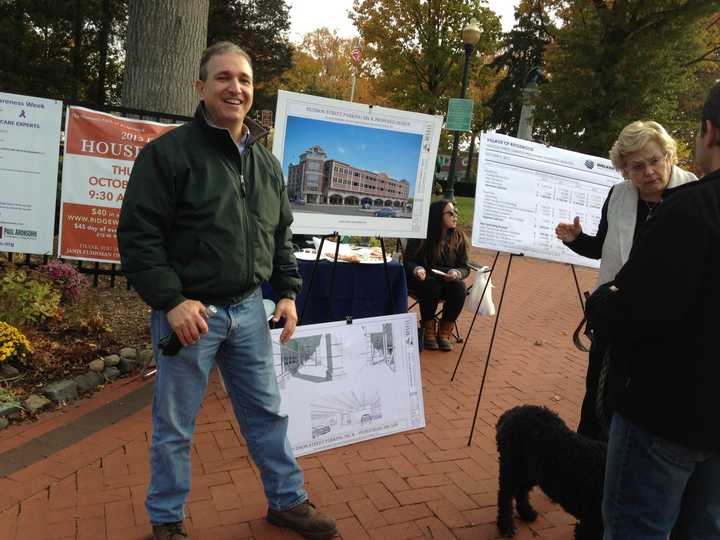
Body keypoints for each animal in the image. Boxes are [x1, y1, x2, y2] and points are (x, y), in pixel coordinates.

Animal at [496, 404, 608, 540]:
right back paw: (506, 526)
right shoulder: (591, 523)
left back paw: (527, 513)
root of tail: (511, 412)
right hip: (513, 468)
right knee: (505, 496)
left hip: (530, 471)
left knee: (521, 492)